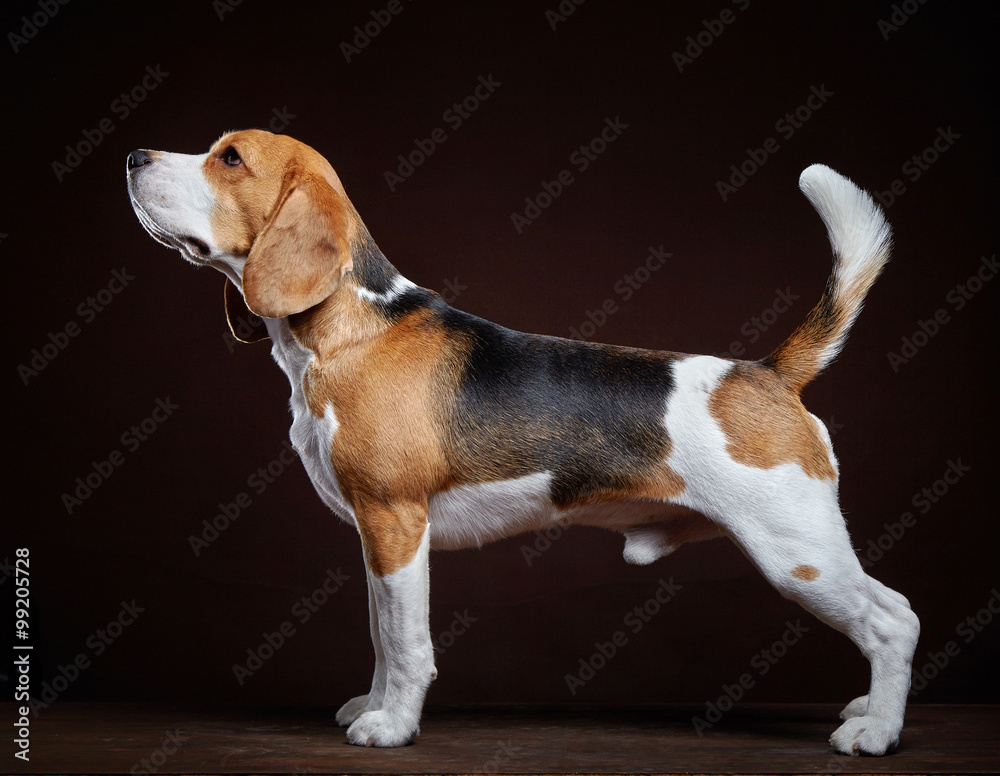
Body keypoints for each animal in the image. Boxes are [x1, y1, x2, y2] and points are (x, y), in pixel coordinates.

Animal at [127, 130, 920, 756]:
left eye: (229, 157)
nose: (134, 156)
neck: (350, 328)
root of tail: (766, 372)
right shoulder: (377, 538)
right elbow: (382, 634)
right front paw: (372, 706)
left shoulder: (395, 520)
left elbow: (406, 643)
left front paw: (392, 727)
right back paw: (870, 707)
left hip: (797, 552)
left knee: (893, 620)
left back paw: (875, 731)